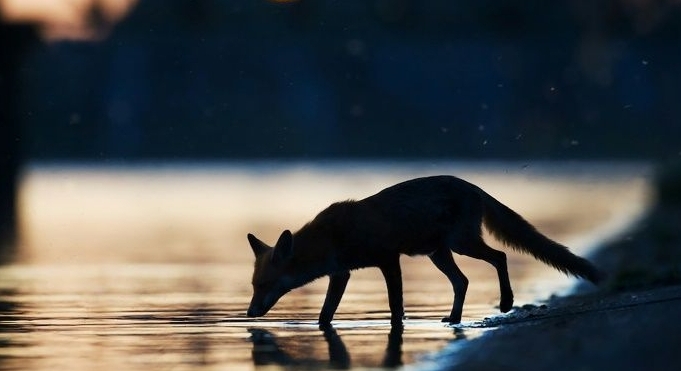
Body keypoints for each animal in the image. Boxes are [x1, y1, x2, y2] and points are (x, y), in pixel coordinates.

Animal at [246, 176, 600, 324]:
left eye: (263, 285)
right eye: (253, 286)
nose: (248, 314)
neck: (328, 238)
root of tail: (473, 185)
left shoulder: (388, 260)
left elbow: (395, 305)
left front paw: (398, 327)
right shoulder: (342, 274)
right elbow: (325, 313)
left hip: (461, 244)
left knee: (499, 257)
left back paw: (506, 302)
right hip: (439, 255)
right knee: (463, 282)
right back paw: (454, 318)